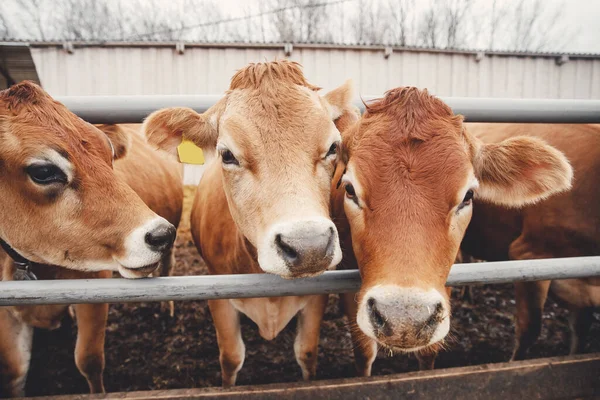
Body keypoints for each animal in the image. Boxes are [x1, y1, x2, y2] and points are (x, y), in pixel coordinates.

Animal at [0, 87, 180, 396]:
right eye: (43, 171)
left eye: (107, 150)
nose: (161, 235)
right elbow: (14, 372)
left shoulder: (96, 285)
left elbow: (89, 360)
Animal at [143, 61, 358, 386]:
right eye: (227, 154)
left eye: (333, 147)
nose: (308, 246)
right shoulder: (218, 293)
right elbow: (231, 358)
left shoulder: (316, 297)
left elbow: (307, 352)